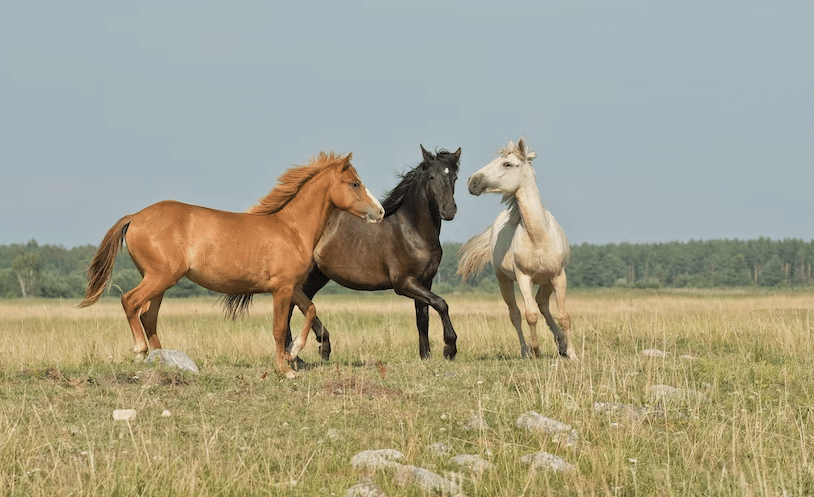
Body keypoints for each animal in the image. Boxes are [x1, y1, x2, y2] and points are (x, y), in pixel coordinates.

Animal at [79, 151, 386, 376]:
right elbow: (278, 328)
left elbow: (310, 310)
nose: (380, 212)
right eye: (355, 183)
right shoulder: (281, 290)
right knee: (130, 302)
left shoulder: (292, 287)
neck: (291, 229)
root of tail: (135, 216)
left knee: (148, 316)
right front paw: (284, 369)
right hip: (159, 277)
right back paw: (140, 351)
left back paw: (163, 358)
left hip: (160, 282)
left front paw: (294, 353)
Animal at [290, 145, 462, 358]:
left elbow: (423, 318)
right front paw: (449, 348)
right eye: (431, 176)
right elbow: (440, 303)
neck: (413, 232)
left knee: (300, 301)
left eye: (454, 177)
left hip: (318, 275)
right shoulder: (404, 283)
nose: (449, 210)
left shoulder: (425, 281)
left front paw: (426, 356)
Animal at [460, 138, 580, 358]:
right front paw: (536, 350)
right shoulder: (524, 277)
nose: (472, 181)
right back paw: (526, 350)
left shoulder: (559, 276)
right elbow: (529, 315)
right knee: (515, 314)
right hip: (504, 281)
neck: (538, 237)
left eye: (507, 164)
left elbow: (564, 316)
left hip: (547, 281)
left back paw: (560, 344)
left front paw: (572, 354)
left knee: (542, 303)